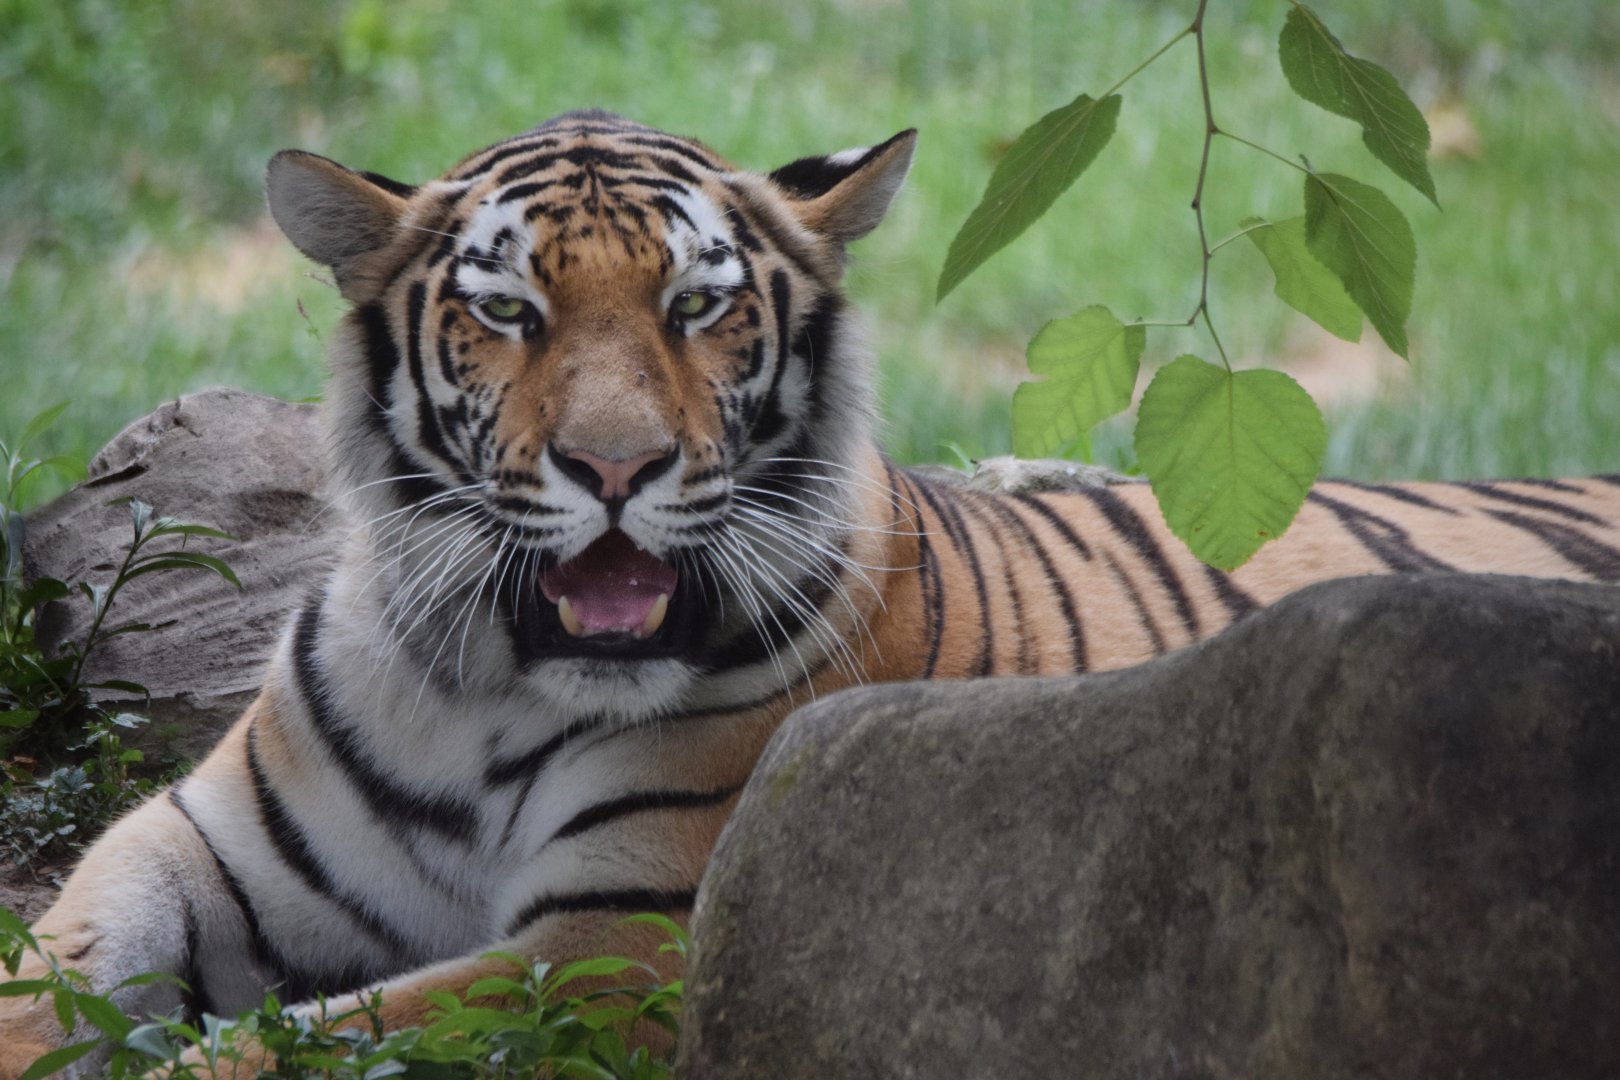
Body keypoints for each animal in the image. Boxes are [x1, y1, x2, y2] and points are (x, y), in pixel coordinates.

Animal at [3, 109, 1619, 1076]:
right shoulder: (194, 846)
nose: (615, 467)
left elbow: (302, 1042)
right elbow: (50, 965)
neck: (486, 680)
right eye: (509, 312)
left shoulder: (617, 943)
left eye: (699, 306)